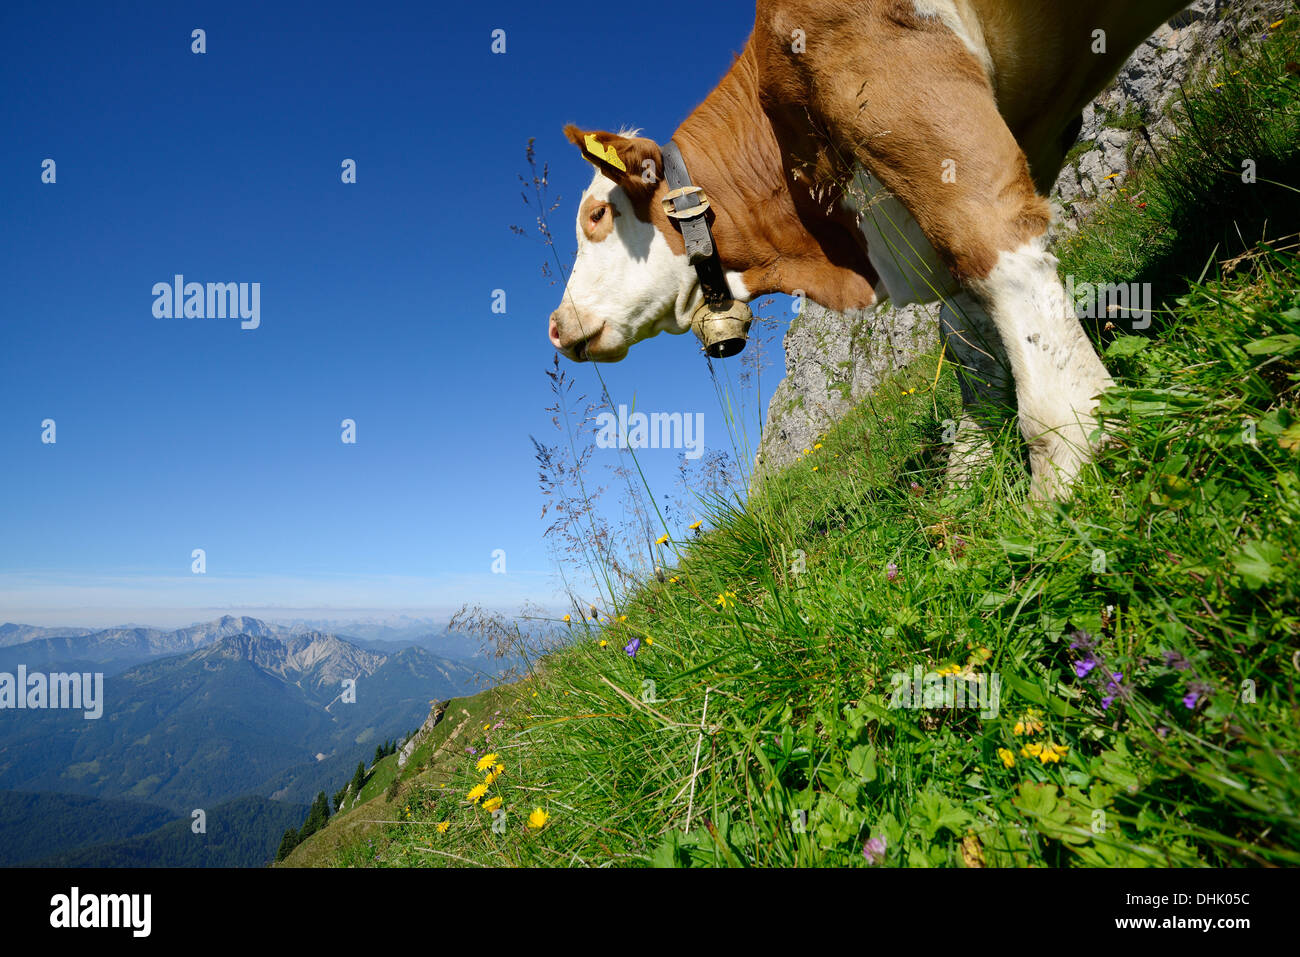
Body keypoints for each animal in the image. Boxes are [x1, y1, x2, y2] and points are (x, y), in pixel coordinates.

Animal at [543, 3, 1190, 501]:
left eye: (597, 215)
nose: (556, 324)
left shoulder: (904, 83)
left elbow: (997, 260)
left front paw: (1066, 469)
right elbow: (966, 329)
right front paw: (968, 472)